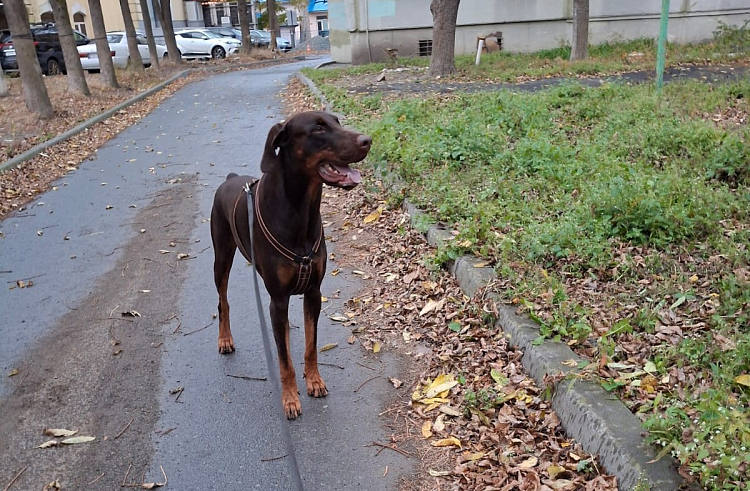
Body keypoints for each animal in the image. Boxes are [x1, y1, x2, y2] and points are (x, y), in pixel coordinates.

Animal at [209, 110, 374, 418]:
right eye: (318, 128)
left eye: (337, 121)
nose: (367, 140)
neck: (300, 211)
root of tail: (230, 179)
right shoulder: (277, 297)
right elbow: (284, 362)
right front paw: (289, 398)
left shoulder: (313, 292)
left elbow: (311, 346)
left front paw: (315, 381)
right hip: (222, 257)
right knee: (223, 301)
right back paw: (225, 339)